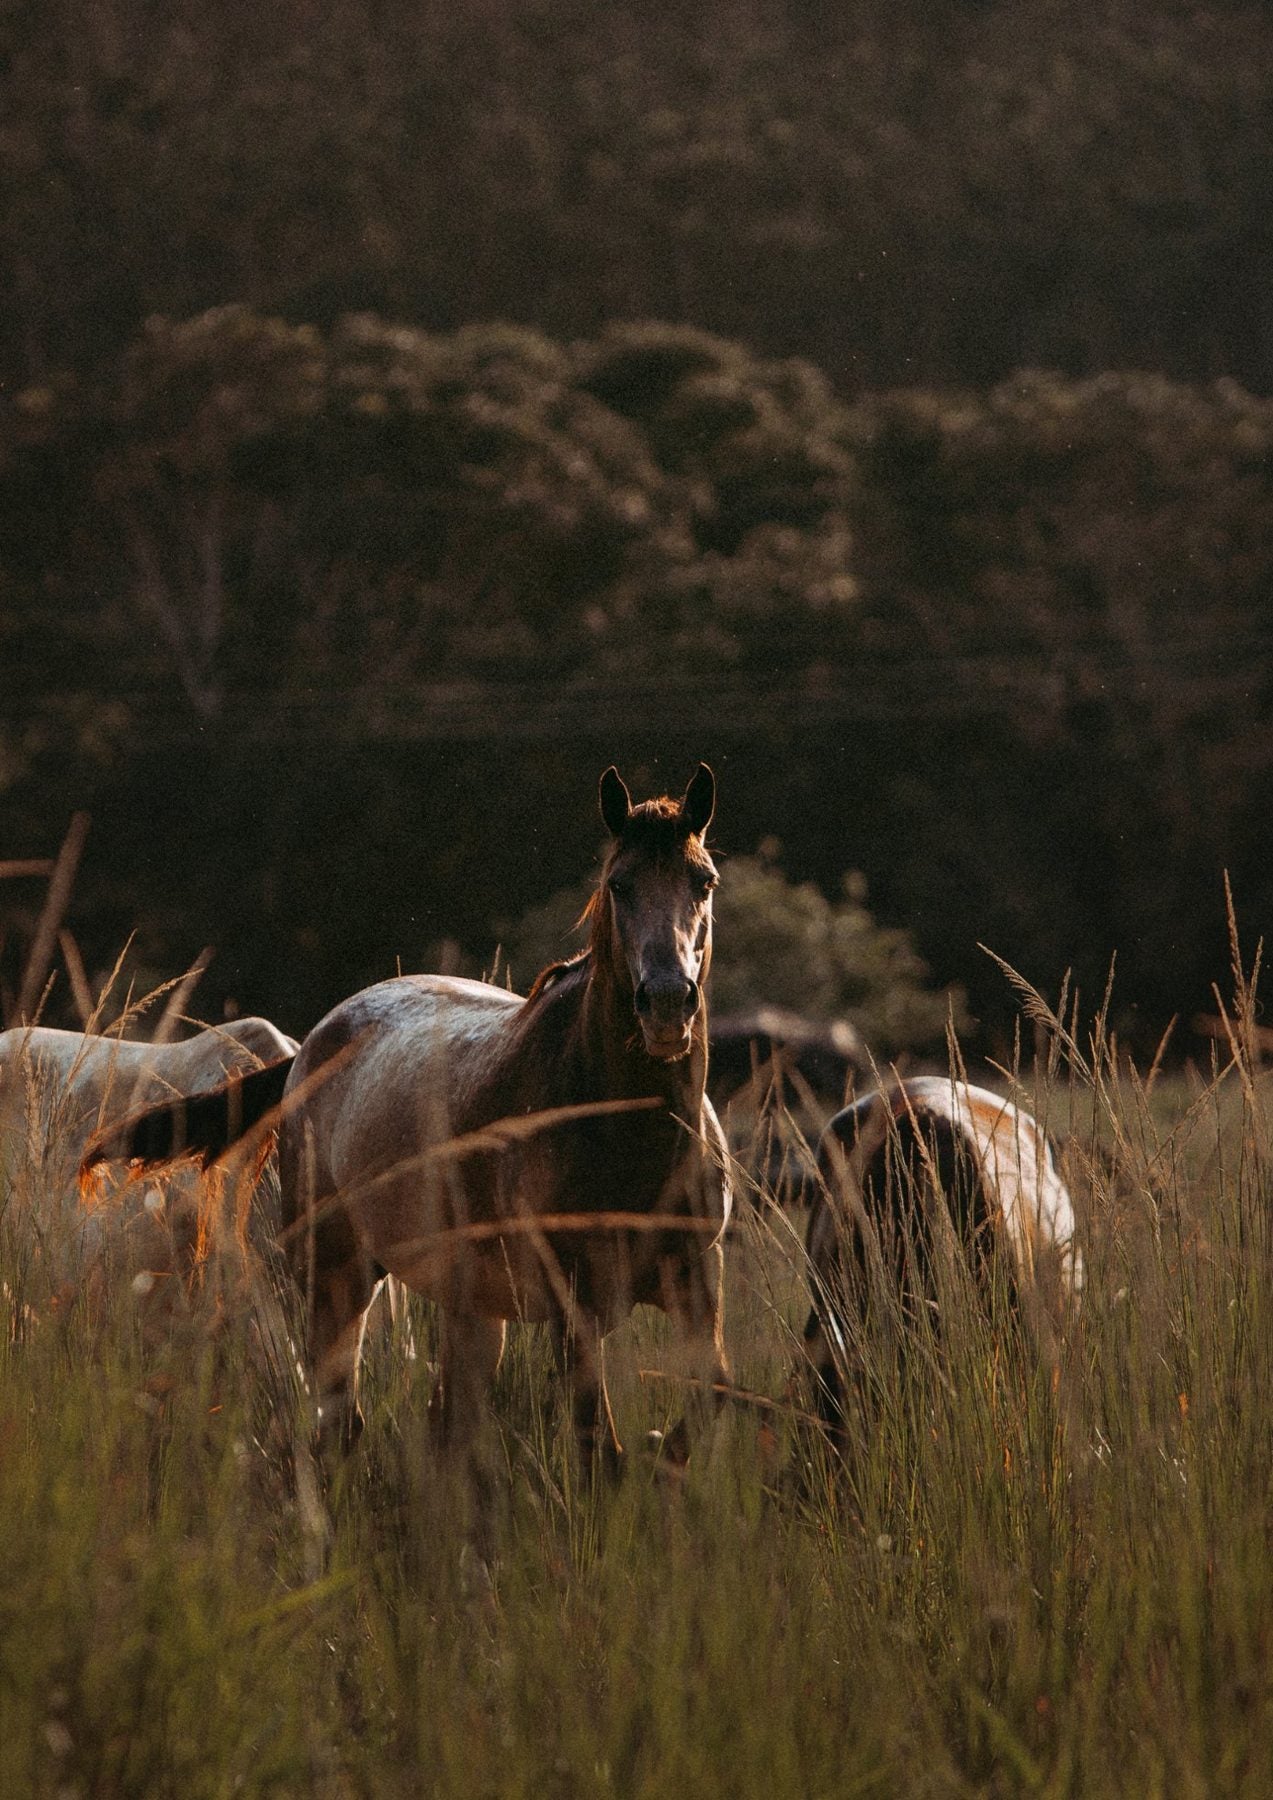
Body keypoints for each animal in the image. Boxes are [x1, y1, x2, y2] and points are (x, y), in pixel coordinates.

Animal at [85, 764, 731, 1475]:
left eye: (704, 880)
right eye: (619, 885)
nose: (667, 1003)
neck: (621, 1132)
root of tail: (309, 1046)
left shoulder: (698, 1282)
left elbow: (707, 1404)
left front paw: (664, 1455)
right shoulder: (574, 1305)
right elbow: (600, 1453)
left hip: (469, 1307)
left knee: (446, 1429)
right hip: (337, 1276)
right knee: (341, 1421)